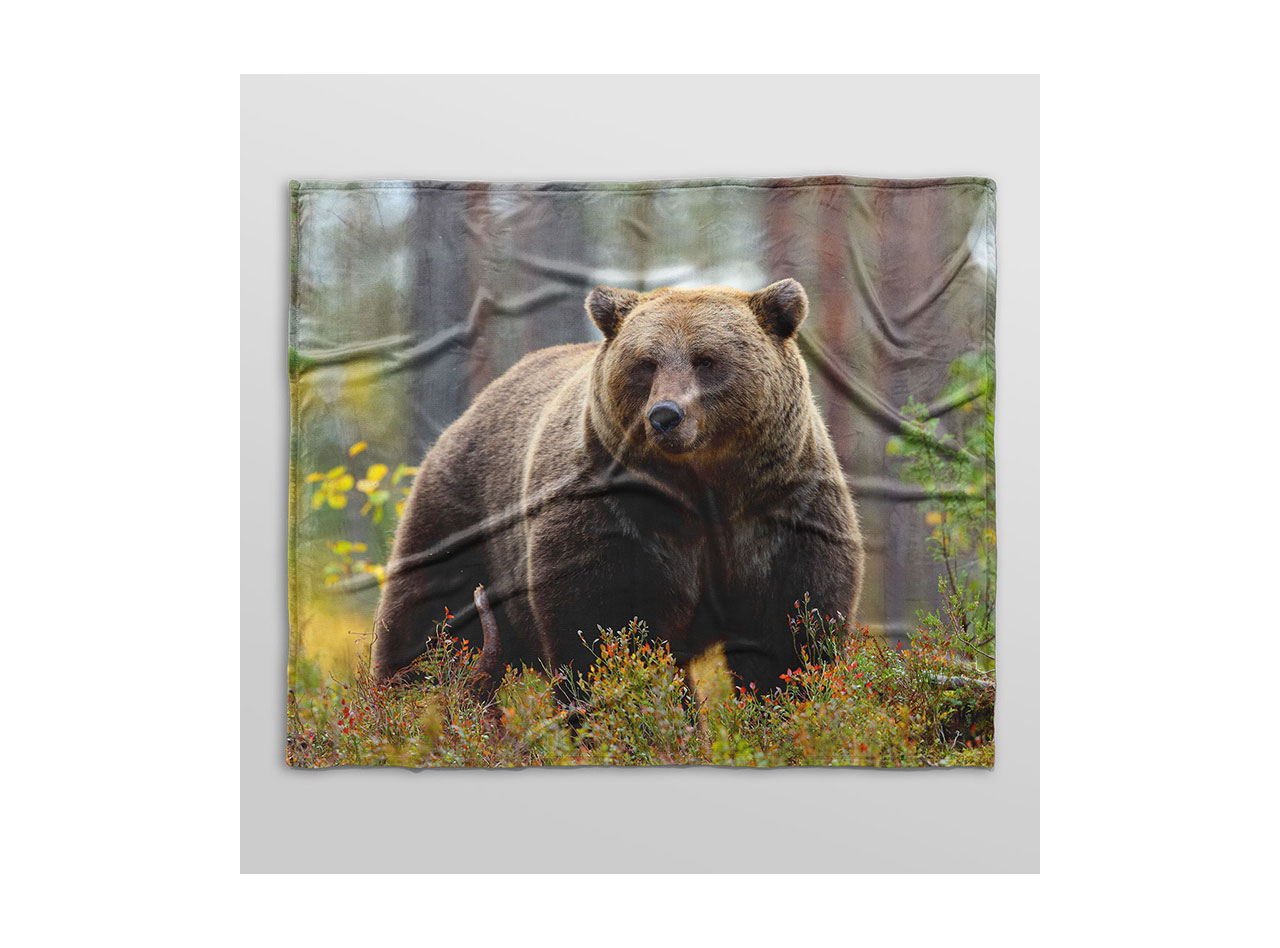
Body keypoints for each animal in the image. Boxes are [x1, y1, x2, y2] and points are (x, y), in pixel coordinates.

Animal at [373, 277, 865, 690]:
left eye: (706, 360)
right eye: (646, 363)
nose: (665, 415)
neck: (706, 490)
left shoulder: (785, 513)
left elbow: (790, 637)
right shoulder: (611, 516)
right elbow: (600, 633)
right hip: (464, 516)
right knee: (428, 619)